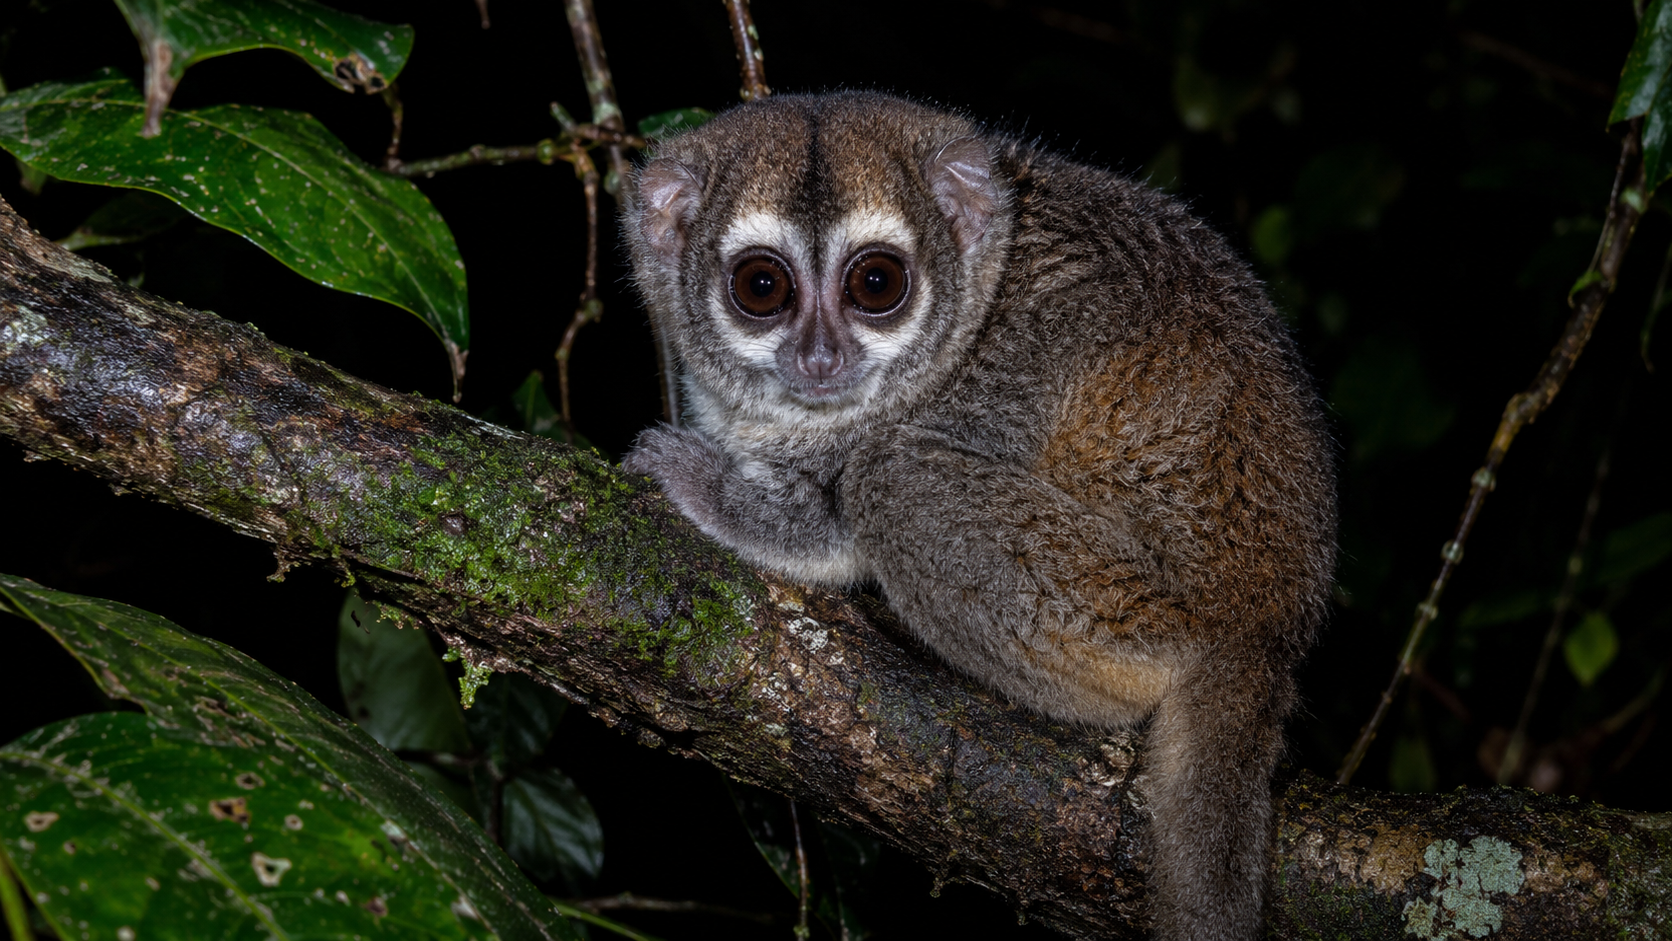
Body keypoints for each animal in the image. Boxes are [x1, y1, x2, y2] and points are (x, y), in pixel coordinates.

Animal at [619, 91, 1336, 941]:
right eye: (762, 286)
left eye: (876, 282)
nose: (821, 357)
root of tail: (1269, 625)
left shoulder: (1013, 357)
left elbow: (839, 525)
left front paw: (696, 482)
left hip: (1140, 614)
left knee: (891, 478)